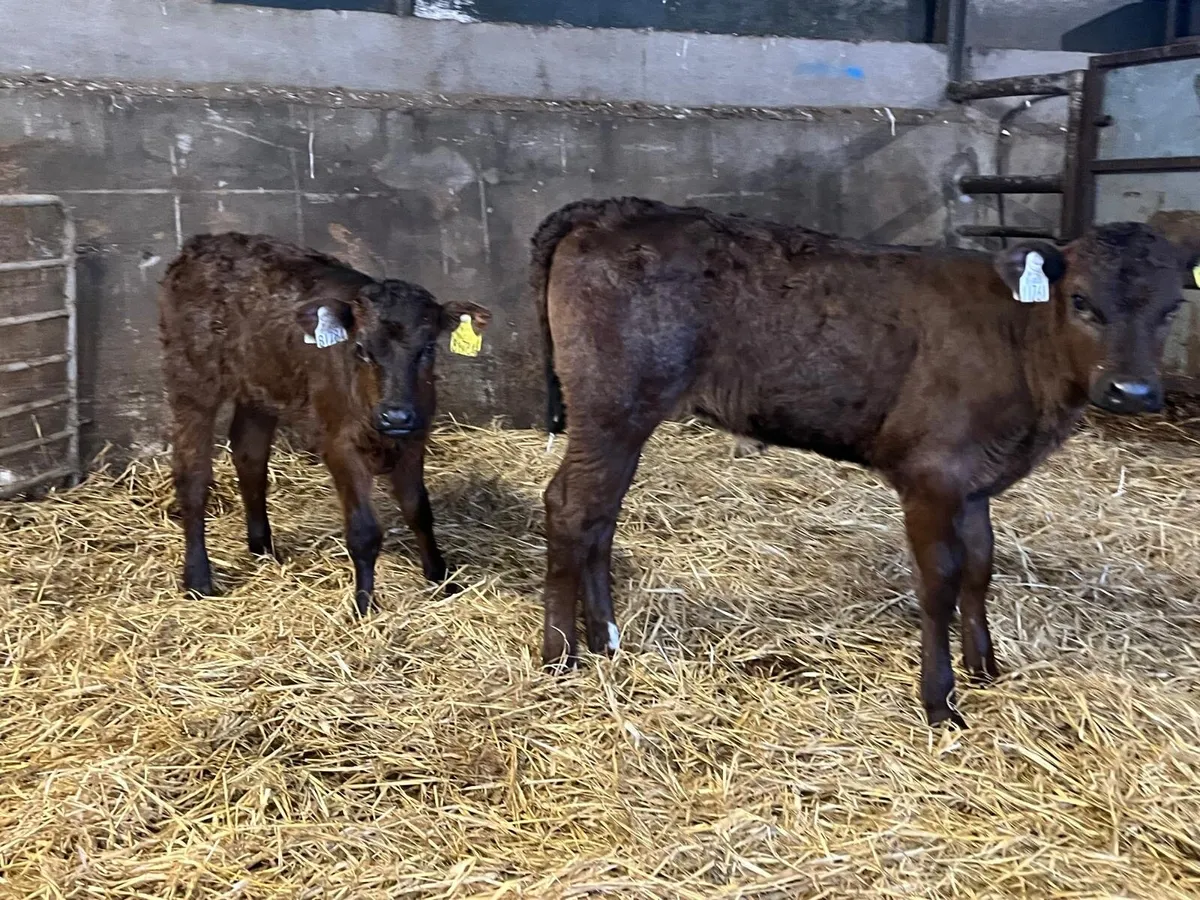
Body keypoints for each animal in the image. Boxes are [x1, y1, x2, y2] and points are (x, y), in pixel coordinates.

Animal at [158, 233, 490, 615]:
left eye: (428, 350)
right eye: (360, 349)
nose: (395, 415)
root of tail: (203, 243)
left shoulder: (415, 436)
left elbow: (419, 510)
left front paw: (442, 580)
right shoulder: (339, 443)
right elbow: (364, 531)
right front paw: (363, 607)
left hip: (259, 383)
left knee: (249, 454)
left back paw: (262, 549)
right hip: (191, 377)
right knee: (193, 475)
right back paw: (198, 579)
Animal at [531, 196, 1200, 727]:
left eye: (1171, 308)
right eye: (1082, 300)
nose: (1133, 392)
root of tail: (616, 209)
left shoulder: (974, 481)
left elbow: (981, 567)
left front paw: (984, 667)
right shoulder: (931, 474)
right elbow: (940, 581)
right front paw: (939, 701)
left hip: (623, 417)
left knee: (601, 516)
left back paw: (606, 641)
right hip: (612, 404)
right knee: (570, 506)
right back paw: (560, 656)